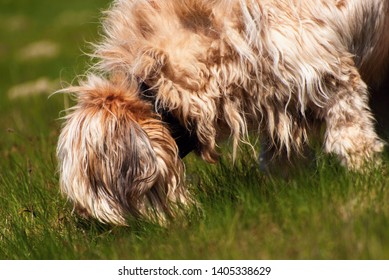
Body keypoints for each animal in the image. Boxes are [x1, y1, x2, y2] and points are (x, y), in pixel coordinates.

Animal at [57, 0, 388, 224]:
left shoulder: (333, 80)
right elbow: (282, 163)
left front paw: (367, 189)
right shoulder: (278, 106)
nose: (83, 221)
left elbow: (354, 143)